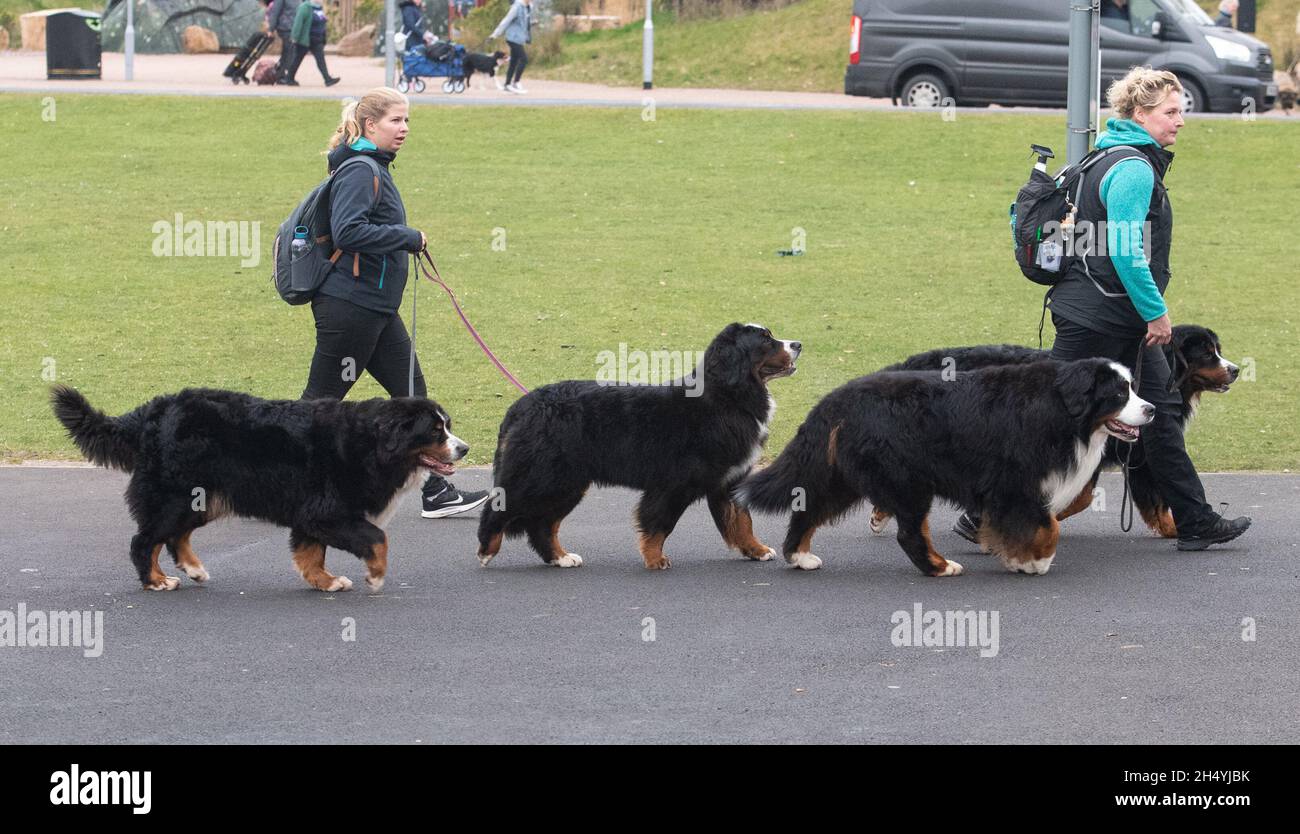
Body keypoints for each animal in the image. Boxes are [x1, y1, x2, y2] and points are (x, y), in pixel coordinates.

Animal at [478, 322, 800, 568]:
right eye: (766, 340)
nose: (798, 343)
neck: (728, 397)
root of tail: (523, 404)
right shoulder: (674, 484)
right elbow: (660, 523)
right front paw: (655, 559)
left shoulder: (729, 480)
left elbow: (742, 521)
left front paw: (757, 550)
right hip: (542, 477)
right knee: (501, 508)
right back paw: (487, 550)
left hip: (566, 483)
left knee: (542, 524)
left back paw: (560, 557)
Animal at [738, 353, 1154, 574]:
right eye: (1119, 394)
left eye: (1132, 388)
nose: (1150, 409)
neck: (1061, 409)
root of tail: (835, 400)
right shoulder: (1014, 485)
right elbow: (1047, 525)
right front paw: (1035, 561)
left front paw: (1016, 557)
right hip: (905, 481)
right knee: (910, 534)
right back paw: (939, 567)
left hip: (842, 477)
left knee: (808, 511)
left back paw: (799, 555)